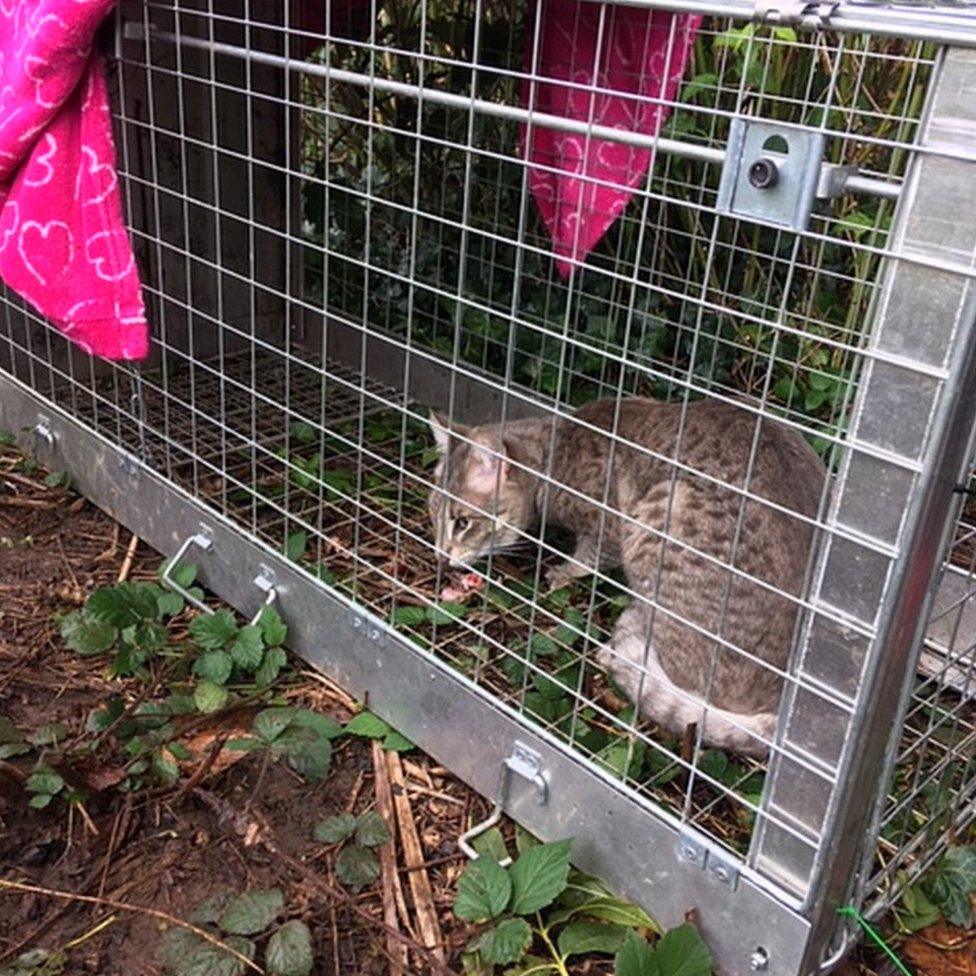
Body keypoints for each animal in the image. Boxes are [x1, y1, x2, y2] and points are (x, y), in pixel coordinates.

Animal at [426, 392, 824, 760]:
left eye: (462, 522)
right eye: (433, 511)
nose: (441, 555)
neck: (555, 455)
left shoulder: (611, 528)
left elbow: (591, 556)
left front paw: (565, 571)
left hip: (660, 518)